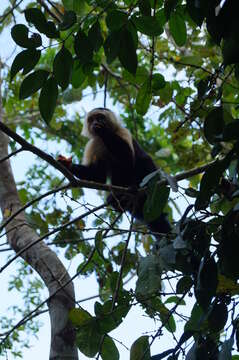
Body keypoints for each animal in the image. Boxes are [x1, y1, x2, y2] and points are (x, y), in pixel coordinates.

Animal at [57, 108, 170, 238]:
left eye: (100, 117)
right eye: (92, 119)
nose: (95, 123)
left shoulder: (122, 132)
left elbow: (127, 159)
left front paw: (103, 130)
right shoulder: (92, 144)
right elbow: (95, 174)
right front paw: (68, 165)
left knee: (143, 159)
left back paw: (136, 188)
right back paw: (119, 199)